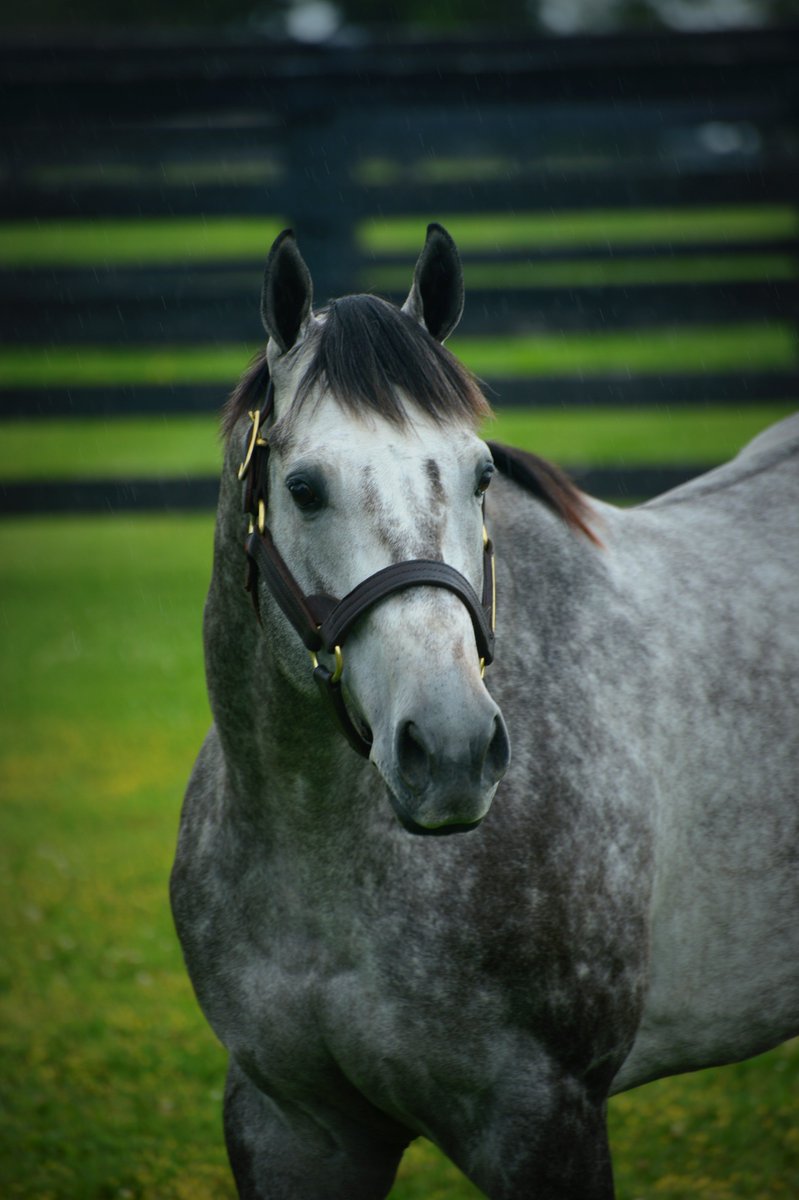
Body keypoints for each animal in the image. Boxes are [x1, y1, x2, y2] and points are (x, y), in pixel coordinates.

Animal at [171, 223, 799, 1199]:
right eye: (304, 487)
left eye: (480, 475)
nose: (454, 749)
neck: (319, 851)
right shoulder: (290, 1124)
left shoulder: (543, 1119)